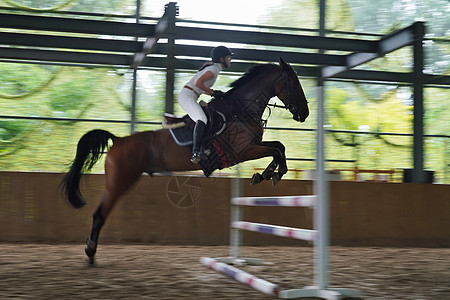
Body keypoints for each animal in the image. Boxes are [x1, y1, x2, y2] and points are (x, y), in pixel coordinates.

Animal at [62, 57, 310, 264]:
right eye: (295, 83)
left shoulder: (251, 147)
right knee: (99, 214)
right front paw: (270, 173)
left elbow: (278, 147)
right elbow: (276, 150)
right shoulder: (242, 151)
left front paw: (269, 173)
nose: (305, 113)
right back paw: (90, 253)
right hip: (119, 183)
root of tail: (118, 140)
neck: (242, 109)